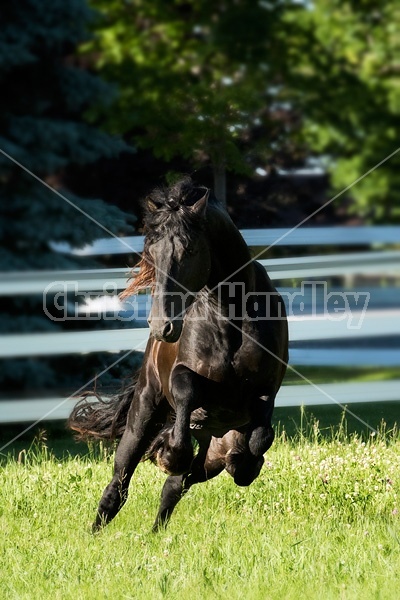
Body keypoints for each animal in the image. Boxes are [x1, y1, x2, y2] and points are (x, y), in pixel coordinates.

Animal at [69, 177, 288, 528]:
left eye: (190, 249)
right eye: (151, 252)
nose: (162, 327)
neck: (232, 315)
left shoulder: (267, 389)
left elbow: (259, 438)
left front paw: (246, 461)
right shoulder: (183, 375)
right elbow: (186, 389)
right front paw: (170, 453)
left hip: (211, 458)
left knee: (175, 486)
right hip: (143, 416)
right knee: (119, 483)